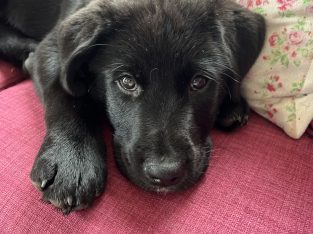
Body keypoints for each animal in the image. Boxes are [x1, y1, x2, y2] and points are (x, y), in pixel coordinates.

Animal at [0, 0, 264, 213]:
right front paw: (71, 160)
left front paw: (232, 104)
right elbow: (65, 92)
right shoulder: (51, 50)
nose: (165, 173)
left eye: (199, 82)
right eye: (127, 82)